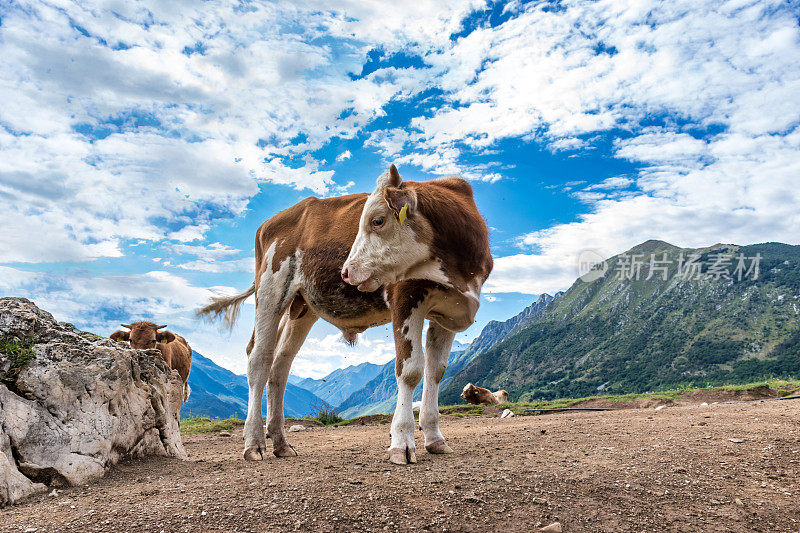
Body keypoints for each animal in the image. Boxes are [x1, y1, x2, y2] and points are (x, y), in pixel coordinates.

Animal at [197, 164, 490, 464]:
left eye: (377, 220)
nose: (346, 272)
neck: (459, 272)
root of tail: (272, 221)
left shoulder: (450, 311)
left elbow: (436, 372)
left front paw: (435, 438)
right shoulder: (405, 299)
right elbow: (410, 370)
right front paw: (402, 442)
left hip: (302, 307)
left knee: (280, 365)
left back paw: (280, 442)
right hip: (271, 287)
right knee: (259, 359)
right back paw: (254, 442)